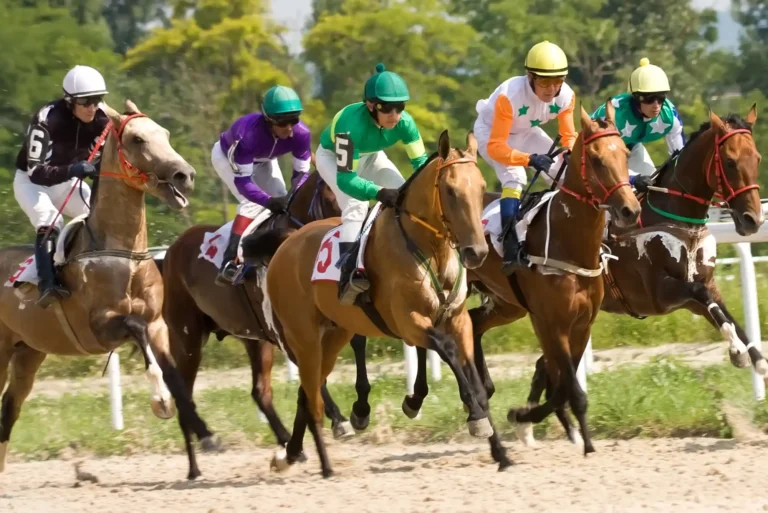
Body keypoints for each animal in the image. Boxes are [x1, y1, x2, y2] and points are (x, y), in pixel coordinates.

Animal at [0, 99, 221, 477]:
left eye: (165, 133)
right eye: (137, 139)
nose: (185, 175)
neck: (123, 253)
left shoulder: (158, 324)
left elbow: (174, 374)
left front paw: (205, 432)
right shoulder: (100, 328)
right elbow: (137, 331)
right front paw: (159, 401)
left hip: (28, 351)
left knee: (9, 408)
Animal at [160, 170, 360, 479]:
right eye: (329, 198)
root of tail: (171, 251)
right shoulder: (289, 333)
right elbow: (314, 377)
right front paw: (339, 420)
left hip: (254, 339)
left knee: (259, 391)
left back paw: (287, 444)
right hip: (188, 338)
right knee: (184, 392)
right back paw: (198, 461)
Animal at [259, 130, 509, 477]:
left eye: (482, 188)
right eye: (450, 190)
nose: (476, 252)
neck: (429, 249)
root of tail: (285, 244)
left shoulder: (458, 320)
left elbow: (473, 377)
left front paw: (499, 449)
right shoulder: (409, 322)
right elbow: (448, 352)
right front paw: (473, 416)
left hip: (334, 336)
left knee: (306, 393)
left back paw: (291, 454)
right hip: (303, 337)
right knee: (311, 396)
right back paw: (325, 465)